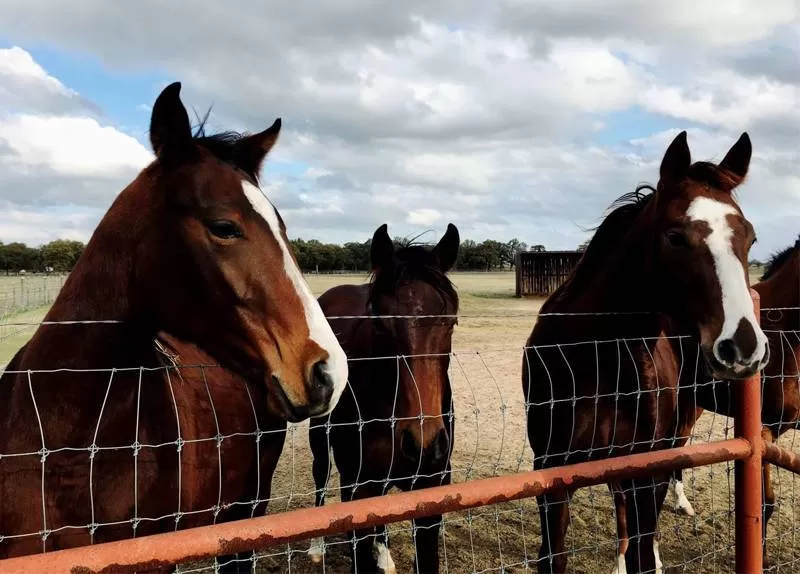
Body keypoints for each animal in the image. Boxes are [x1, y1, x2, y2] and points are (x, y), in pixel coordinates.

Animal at [306, 224, 460, 574]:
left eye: (451, 322)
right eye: (379, 324)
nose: (423, 445)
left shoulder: (430, 490)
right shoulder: (360, 487)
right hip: (320, 436)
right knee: (321, 474)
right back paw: (318, 546)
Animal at [520, 132, 764, 574]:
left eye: (750, 238)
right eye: (675, 236)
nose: (742, 346)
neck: (595, 357)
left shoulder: (645, 471)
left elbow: (643, 550)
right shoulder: (552, 474)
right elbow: (554, 557)